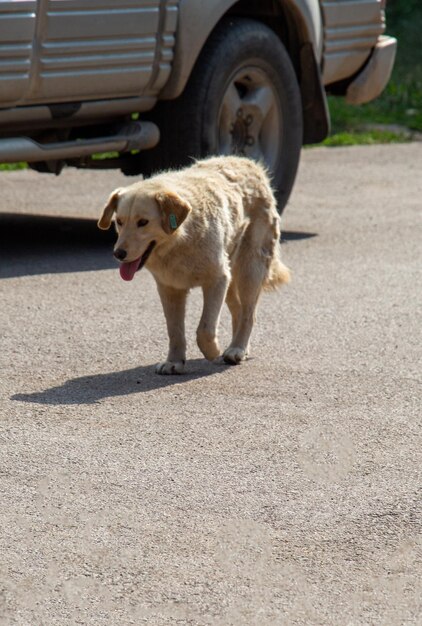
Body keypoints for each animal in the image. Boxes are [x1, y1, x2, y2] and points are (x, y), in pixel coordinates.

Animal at [98, 156, 290, 372]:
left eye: (143, 222)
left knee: (249, 314)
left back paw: (237, 349)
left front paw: (213, 352)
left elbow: (204, 329)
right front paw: (174, 361)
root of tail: (249, 163)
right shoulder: (170, 289)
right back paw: (239, 348)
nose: (118, 254)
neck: (180, 240)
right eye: (119, 222)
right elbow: (174, 331)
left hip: (249, 270)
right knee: (239, 311)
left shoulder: (216, 280)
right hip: (231, 277)